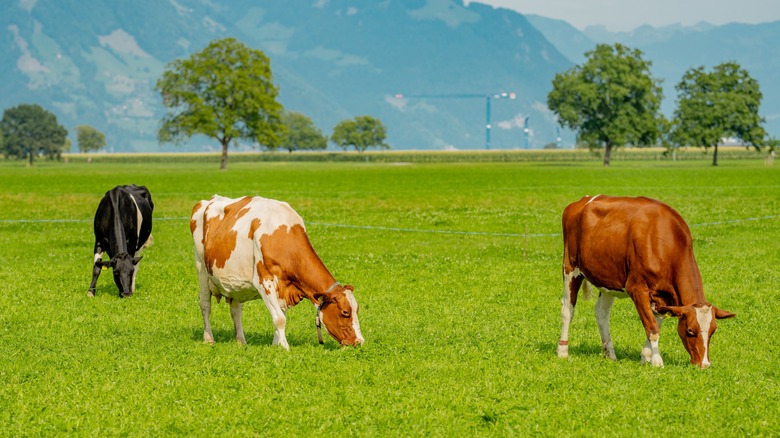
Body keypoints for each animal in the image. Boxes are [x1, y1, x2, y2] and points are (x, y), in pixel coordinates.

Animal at [190, 195, 364, 350]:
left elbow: (281, 315)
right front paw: (285, 347)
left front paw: (276, 345)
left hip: (236, 283)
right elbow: (280, 318)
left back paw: (241, 341)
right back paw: (209, 339)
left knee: (235, 310)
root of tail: (208, 200)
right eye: (345, 312)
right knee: (205, 305)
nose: (359, 341)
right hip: (202, 269)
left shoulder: (285, 288)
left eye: (356, 310)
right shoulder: (263, 282)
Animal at [556, 193, 736, 368]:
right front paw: (657, 362)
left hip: (607, 278)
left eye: (713, 330)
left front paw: (646, 357)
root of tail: (583, 200)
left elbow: (656, 323)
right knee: (567, 309)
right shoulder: (637, 288)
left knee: (601, 312)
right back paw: (563, 351)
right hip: (570, 267)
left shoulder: (663, 297)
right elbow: (652, 327)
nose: (704, 364)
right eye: (690, 330)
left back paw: (610, 354)